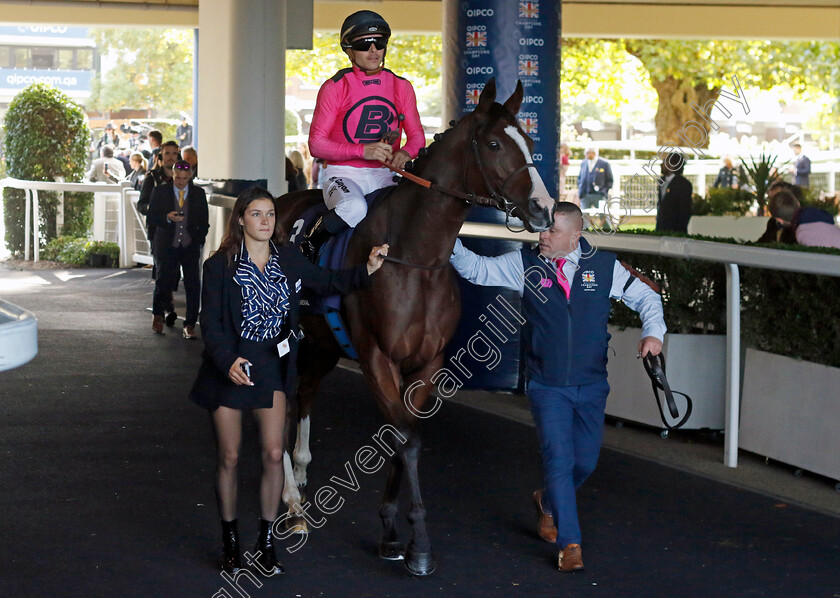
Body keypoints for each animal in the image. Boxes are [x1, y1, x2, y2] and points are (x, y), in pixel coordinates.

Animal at [274, 79, 556, 576]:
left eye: (529, 140)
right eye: (494, 143)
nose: (544, 208)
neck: (414, 258)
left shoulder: (426, 363)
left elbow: (400, 436)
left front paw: (389, 530)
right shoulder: (376, 358)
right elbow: (405, 440)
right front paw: (418, 545)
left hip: (323, 343)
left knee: (305, 392)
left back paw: (304, 471)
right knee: (285, 402)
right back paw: (290, 503)